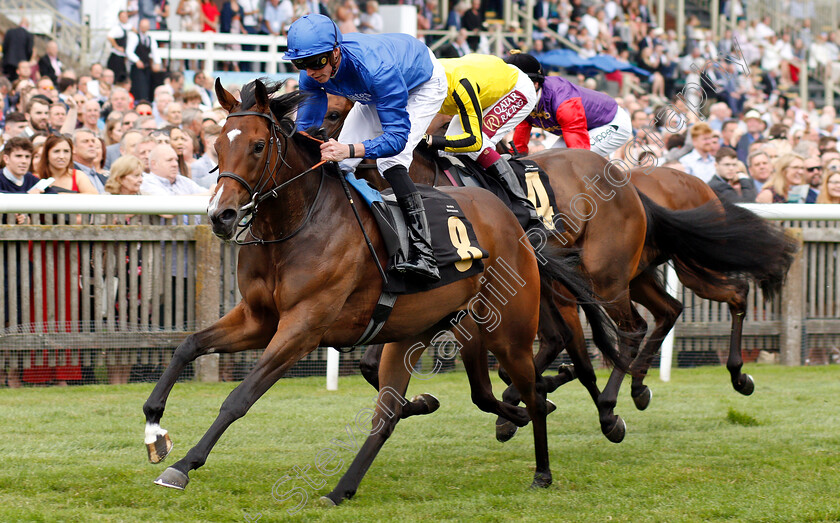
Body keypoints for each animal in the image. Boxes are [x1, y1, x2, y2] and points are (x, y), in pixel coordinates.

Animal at [139, 80, 616, 506]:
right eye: (218, 145)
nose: (221, 215)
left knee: (535, 381)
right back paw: (344, 487)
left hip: (509, 329)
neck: (297, 224)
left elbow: (240, 397)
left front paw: (184, 464)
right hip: (430, 331)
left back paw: (548, 462)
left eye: (257, 146)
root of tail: (513, 221)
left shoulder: (302, 328)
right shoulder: (259, 319)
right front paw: (154, 430)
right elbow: (188, 346)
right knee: (419, 409)